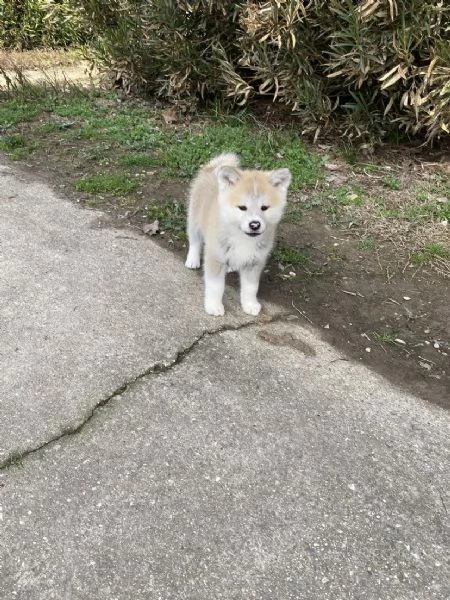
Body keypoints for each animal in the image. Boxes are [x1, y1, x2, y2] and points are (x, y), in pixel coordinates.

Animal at [185, 152, 292, 316]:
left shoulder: (255, 262)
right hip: (195, 218)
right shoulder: (215, 257)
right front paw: (214, 306)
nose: (254, 225)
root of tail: (212, 168)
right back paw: (192, 259)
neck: (243, 237)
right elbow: (216, 287)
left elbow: (251, 288)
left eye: (264, 207)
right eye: (242, 207)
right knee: (195, 240)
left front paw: (250, 304)